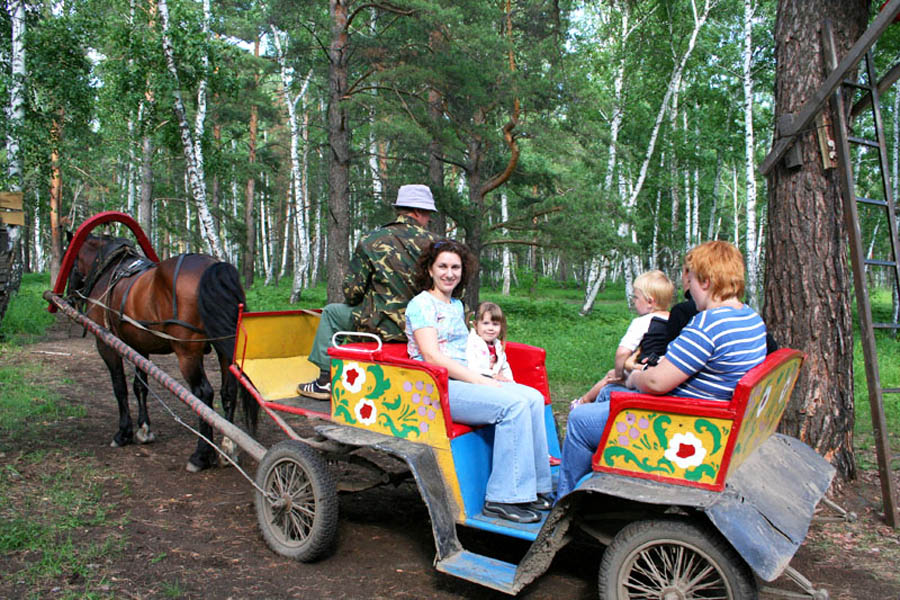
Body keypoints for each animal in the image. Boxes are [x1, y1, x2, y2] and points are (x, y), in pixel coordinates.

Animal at [66, 234, 256, 474]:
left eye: (72, 260)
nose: (69, 296)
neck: (109, 271)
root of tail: (214, 266)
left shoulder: (106, 344)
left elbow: (120, 387)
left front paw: (123, 433)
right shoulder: (138, 346)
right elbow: (140, 386)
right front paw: (144, 429)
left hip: (187, 354)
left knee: (203, 394)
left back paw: (201, 455)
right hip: (224, 347)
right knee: (228, 392)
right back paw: (228, 450)